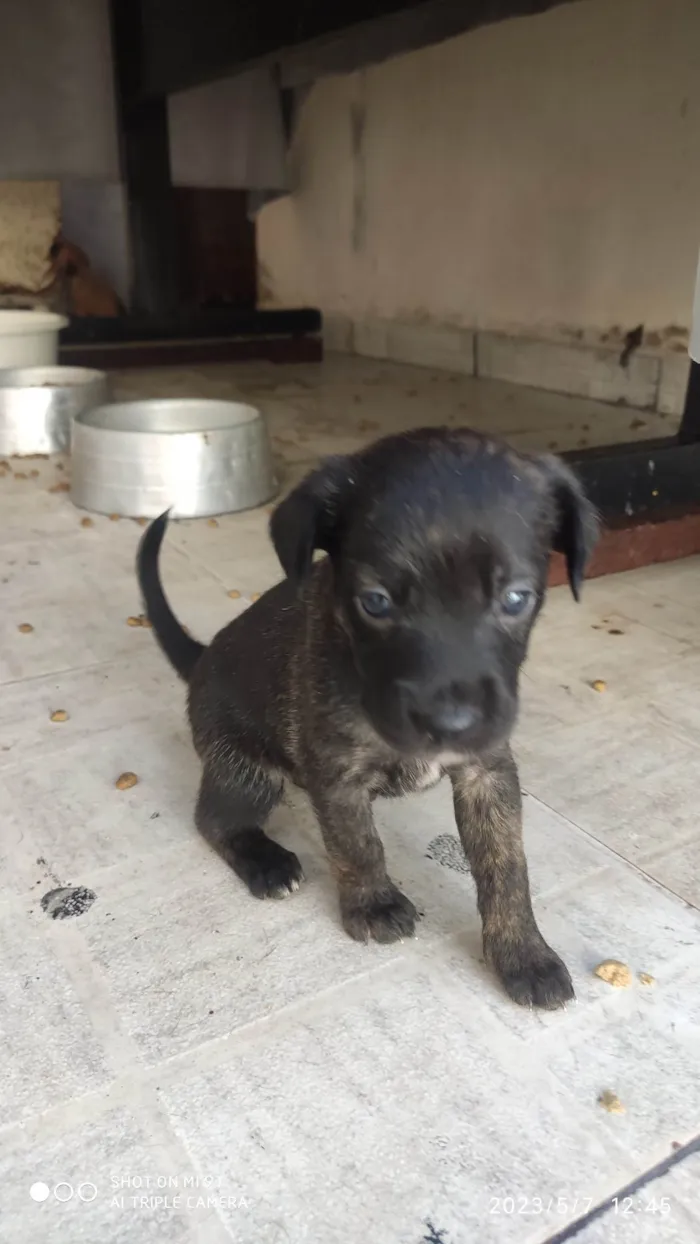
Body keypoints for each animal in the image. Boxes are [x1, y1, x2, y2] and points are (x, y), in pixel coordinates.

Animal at [139, 427, 599, 1010]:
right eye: (375, 602)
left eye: (516, 598)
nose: (450, 723)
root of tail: (199, 659)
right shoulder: (337, 772)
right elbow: (357, 843)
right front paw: (373, 905)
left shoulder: (488, 772)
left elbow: (507, 865)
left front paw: (523, 952)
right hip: (247, 768)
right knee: (215, 819)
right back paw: (266, 862)